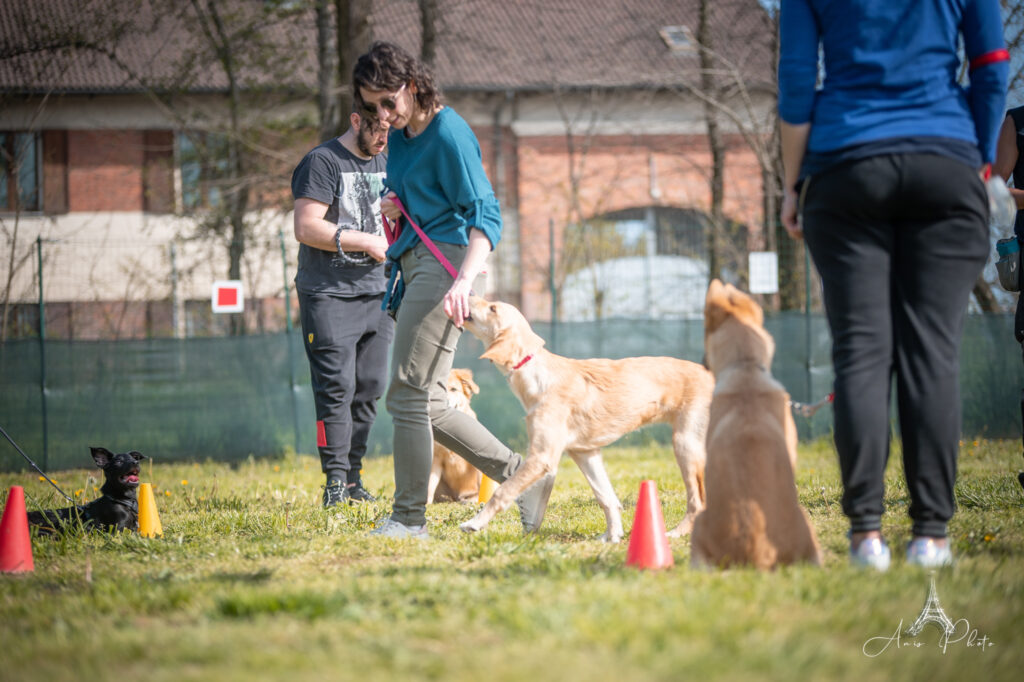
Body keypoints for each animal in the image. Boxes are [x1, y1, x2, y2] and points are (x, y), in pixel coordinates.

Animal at [458, 294, 712, 540]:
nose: (467, 293)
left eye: (493, 308)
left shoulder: (542, 456)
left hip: (685, 443)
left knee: (698, 501)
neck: (536, 372)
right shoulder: (585, 452)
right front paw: (612, 535)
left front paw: (475, 523)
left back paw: (677, 533)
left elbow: (504, 491)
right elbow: (606, 497)